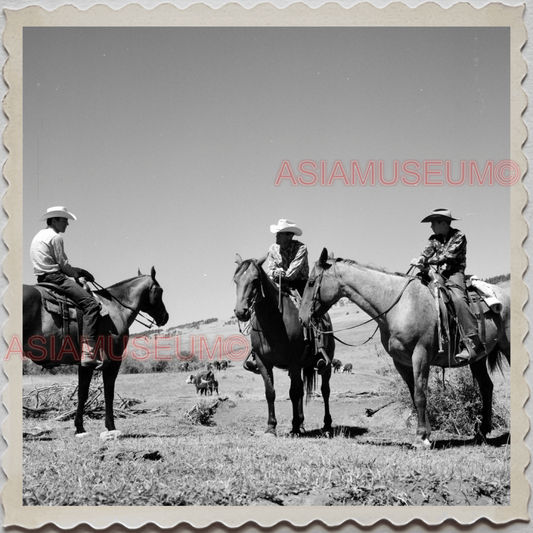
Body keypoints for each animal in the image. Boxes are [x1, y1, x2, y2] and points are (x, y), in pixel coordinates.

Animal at [22, 266, 168, 436]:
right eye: (160, 290)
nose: (165, 316)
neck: (116, 308)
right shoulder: (114, 361)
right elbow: (108, 392)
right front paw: (111, 426)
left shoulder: (85, 364)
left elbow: (82, 393)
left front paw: (79, 427)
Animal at [232, 255, 334, 436]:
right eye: (236, 280)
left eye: (255, 279)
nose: (240, 312)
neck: (273, 322)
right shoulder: (263, 362)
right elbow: (270, 392)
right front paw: (271, 426)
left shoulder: (294, 361)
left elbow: (293, 393)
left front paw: (294, 427)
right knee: (301, 390)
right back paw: (302, 423)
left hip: (324, 365)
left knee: (325, 390)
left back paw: (326, 425)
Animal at [298, 247, 510, 446]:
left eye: (311, 282)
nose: (302, 318)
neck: (398, 306)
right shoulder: (401, 362)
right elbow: (414, 396)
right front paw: (425, 434)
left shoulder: (421, 355)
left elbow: (420, 394)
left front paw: (421, 438)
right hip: (478, 357)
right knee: (486, 386)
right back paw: (481, 433)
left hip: (506, 347)